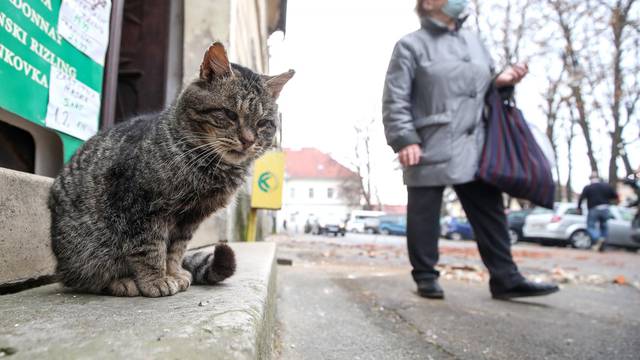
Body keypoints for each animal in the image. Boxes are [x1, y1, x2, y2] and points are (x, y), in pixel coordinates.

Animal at [49, 43, 296, 298]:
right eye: (230, 114)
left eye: (263, 123)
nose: (248, 140)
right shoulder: (141, 208)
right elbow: (150, 248)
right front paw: (156, 280)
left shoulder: (190, 218)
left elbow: (176, 250)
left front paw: (174, 273)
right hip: (86, 250)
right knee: (82, 278)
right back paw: (121, 281)